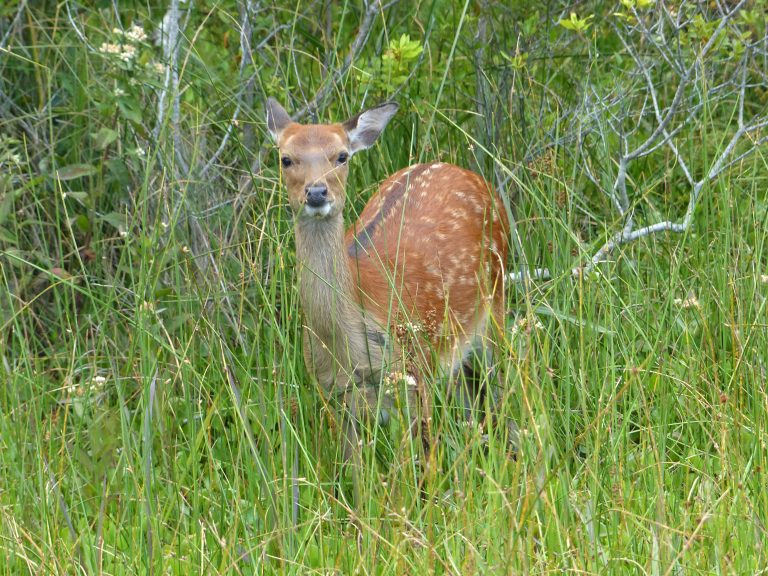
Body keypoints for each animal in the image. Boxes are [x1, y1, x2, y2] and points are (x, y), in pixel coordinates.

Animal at [268, 97, 512, 484]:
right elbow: (354, 474)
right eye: (286, 158)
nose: (317, 192)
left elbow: (418, 466)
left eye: (341, 156)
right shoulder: (333, 393)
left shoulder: (414, 374)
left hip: (496, 306)